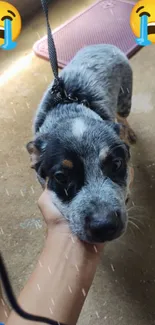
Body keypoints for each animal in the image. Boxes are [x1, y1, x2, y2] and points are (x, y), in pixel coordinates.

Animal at [26, 45, 136, 243]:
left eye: (116, 164)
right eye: (61, 176)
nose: (104, 226)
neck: (69, 111)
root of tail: (102, 45)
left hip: (125, 97)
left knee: (123, 116)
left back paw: (127, 131)